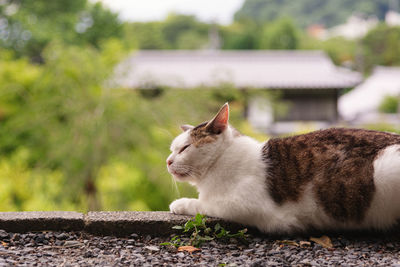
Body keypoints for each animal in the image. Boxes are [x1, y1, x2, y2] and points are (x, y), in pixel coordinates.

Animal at [166, 103, 400, 233]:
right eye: (172, 149)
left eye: (184, 148)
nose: (168, 161)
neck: (221, 160)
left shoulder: (241, 205)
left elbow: (205, 204)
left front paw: (180, 203)